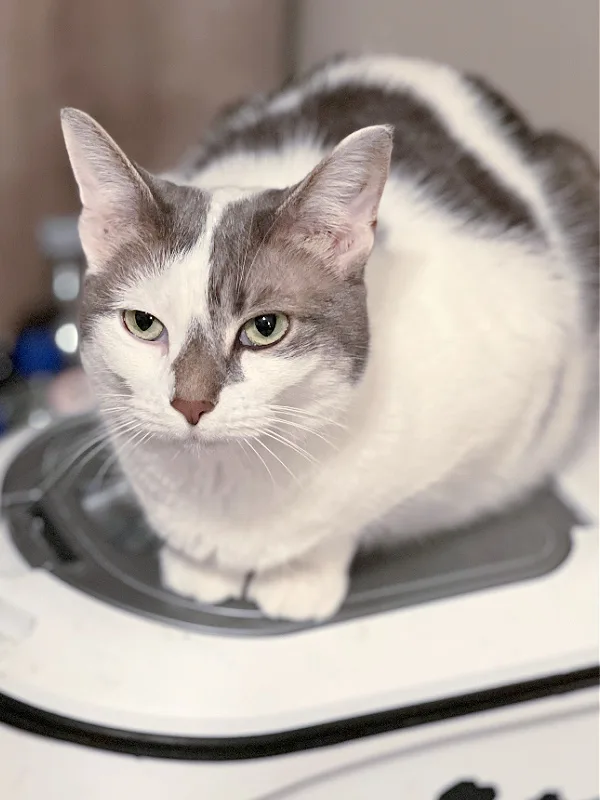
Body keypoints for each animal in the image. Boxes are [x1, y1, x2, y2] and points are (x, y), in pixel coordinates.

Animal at [62, 53, 600, 620]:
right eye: (143, 324)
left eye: (266, 327)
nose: (190, 403)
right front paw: (198, 567)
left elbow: (341, 522)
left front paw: (300, 575)